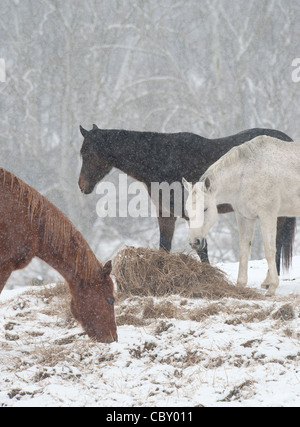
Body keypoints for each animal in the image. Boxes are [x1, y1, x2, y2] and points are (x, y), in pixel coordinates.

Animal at [78, 124, 296, 274]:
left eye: (86, 153)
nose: (82, 185)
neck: (162, 160)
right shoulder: (166, 214)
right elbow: (164, 247)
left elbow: (202, 250)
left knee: (276, 243)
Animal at [183, 137, 300, 298]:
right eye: (187, 210)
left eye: (205, 208)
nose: (195, 242)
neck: (246, 174)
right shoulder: (244, 217)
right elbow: (243, 250)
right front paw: (240, 284)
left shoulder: (267, 215)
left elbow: (269, 250)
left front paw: (272, 288)